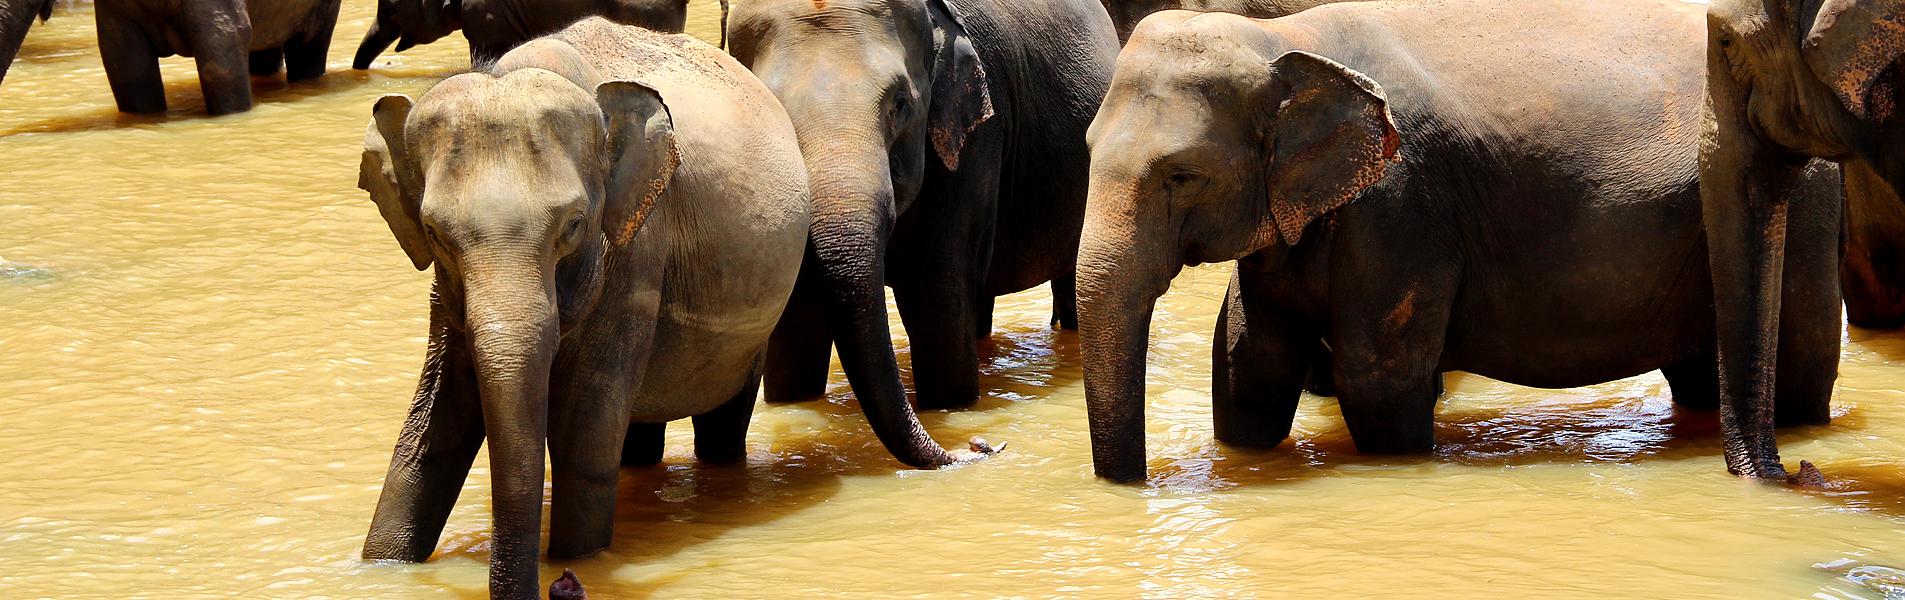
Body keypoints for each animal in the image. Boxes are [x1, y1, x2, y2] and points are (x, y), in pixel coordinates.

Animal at [354, 18, 992, 598]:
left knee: (718, 417)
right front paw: (381, 566)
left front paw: (577, 559)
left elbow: (584, 430)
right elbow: (432, 428)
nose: (982, 447)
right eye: (435, 234)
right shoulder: (449, 293)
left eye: (574, 226)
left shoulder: (639, 253)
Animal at [1075, 0, 1848, 483]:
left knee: (1799, 373)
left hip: (1806, 209)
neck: (1280, 37)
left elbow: (1377, 380)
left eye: (1182, 175)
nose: (1141, 484)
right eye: (1084, 149)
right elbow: (1246, 365)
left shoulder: (1401, 205)